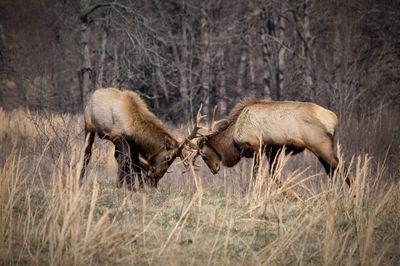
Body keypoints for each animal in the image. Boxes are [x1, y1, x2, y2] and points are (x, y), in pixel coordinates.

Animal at [193, 98, 350, 186]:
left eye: (204, 155)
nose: (214, 170)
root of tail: (333, 118)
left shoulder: (257, 147)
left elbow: (256, 176)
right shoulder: (273, 151)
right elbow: (273, 175)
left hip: (320, 145)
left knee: (341, 166)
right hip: (321, 148)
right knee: (330, 170)